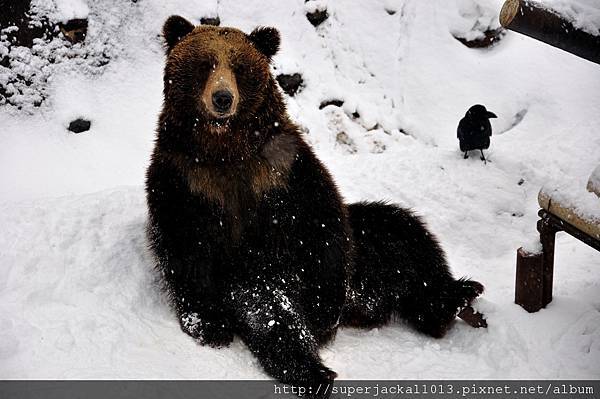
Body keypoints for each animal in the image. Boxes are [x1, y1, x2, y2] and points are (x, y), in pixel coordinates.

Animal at [148, 15, 486, 396]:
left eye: (239, 67)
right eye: (205, 64)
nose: (223, 98)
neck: (226, 149)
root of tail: (369, 305)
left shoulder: (283, 168)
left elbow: (321, 224)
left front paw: (324, 312)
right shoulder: (186, 181)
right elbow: (185, 251)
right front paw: (209, 325)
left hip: (369, 246)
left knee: (407, 234)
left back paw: (459, 296)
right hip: (255, 278)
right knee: (273, 317)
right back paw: (314, 371)